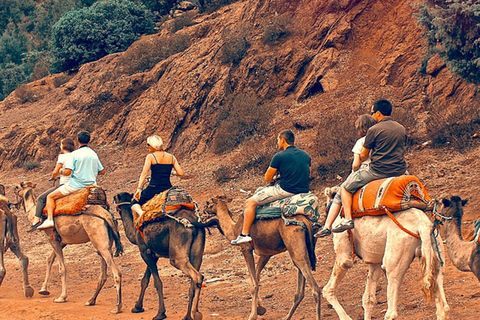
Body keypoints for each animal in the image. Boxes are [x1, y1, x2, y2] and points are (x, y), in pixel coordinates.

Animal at [15, 181, 123, 314]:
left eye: (16, 188)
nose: (13, 203)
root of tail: (107, 215)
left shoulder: (52, 238)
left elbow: (62, 268)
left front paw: (61, 297)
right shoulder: (61, 241)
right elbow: (49, 259)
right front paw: (43, 290)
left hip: (100, 240)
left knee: (116, 272)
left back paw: (117, 307)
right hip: (103, 242)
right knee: (103, 273)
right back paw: (91, 300)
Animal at [112, 191, 218, 320]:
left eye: (115, 198)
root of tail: (194, 223)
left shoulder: (144, 251)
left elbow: (157, 282)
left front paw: (160, 313)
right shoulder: (153, 254)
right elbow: (145, 280)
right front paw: (137, 307)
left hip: (177, 254)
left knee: (195, 275)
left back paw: (194, 314)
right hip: (197, 253)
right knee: (194, 279)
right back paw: (189, 315)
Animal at [322, 188, 450, 320]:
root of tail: (422, 226)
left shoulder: (344, 253)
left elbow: (329, 288)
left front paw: (346, 317)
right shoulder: (374, 261)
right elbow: (368, 299)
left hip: (395, 257)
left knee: (391, 311)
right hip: (435, 250)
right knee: (442, 306)